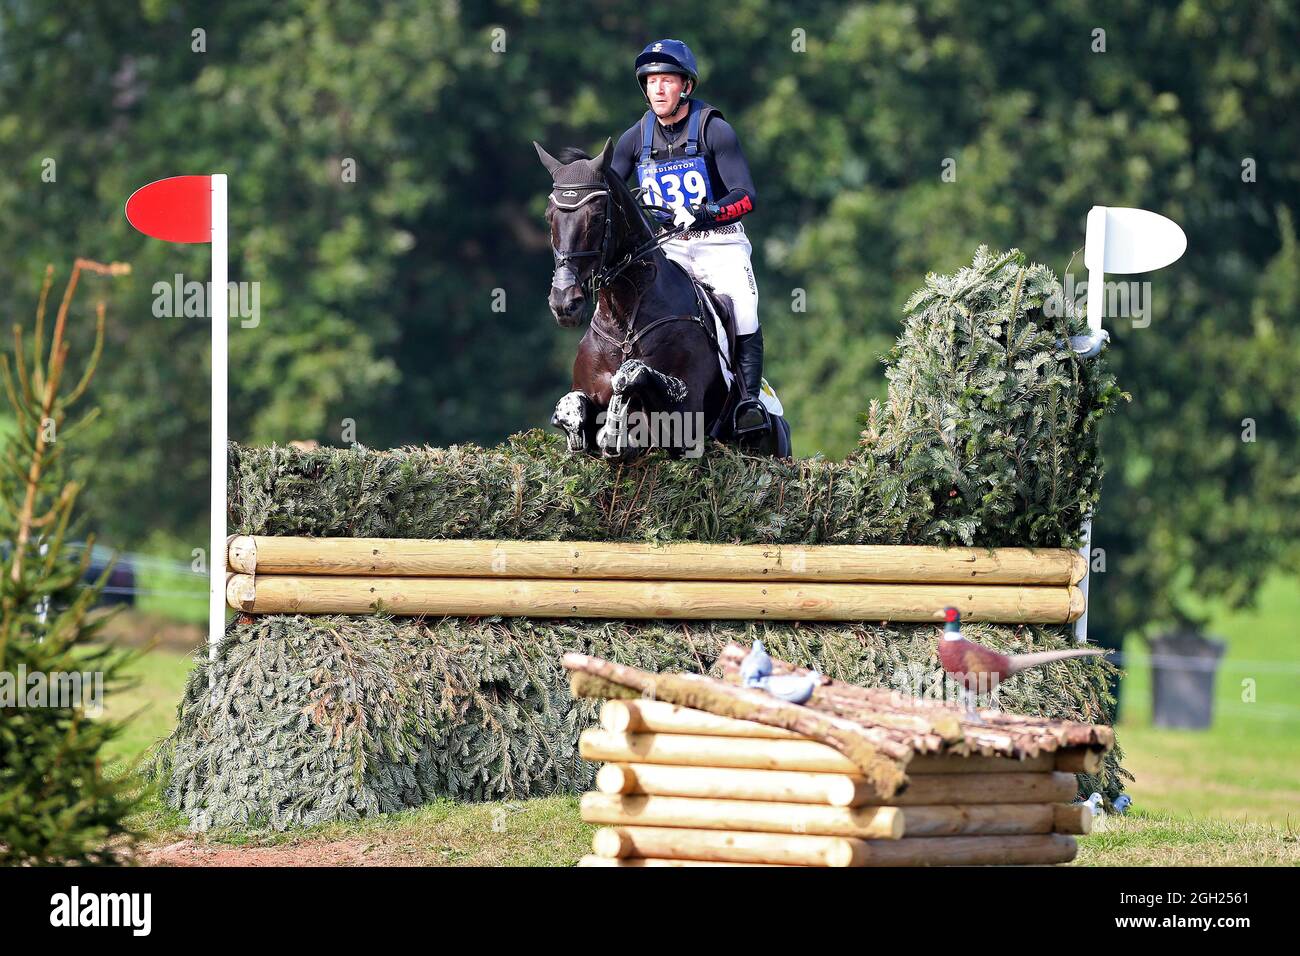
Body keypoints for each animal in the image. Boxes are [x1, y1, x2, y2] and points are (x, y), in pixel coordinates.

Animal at [533, 137, 785, 460]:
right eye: (549, 217)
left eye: (598, 217)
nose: (565, 303)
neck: (625, 317)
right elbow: (573, 404)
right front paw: (580, 424)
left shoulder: (683, 422)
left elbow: (631, 375)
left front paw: (615, 428)